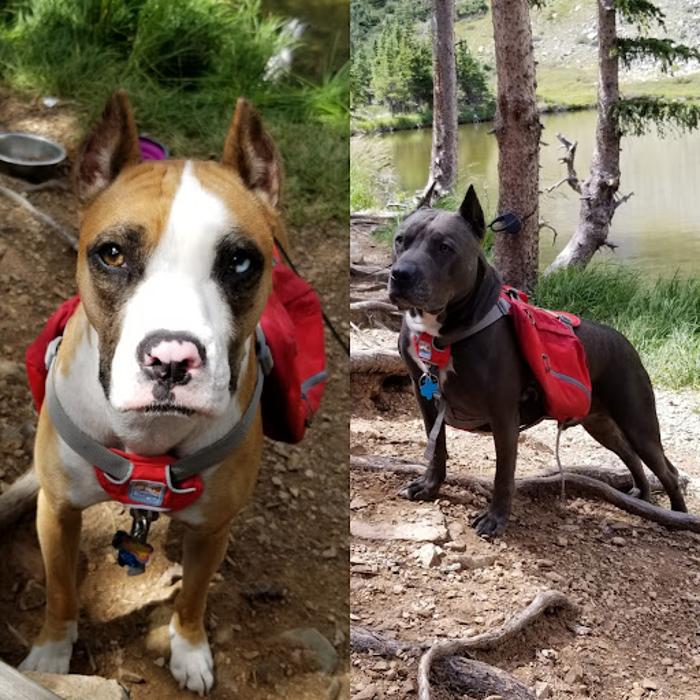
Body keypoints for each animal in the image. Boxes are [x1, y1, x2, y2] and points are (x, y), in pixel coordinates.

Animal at [20, 91, 286, 696]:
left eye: (240, 261)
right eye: (112, 254)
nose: (170, 359)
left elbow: (193, 596)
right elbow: (61, 589)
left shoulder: (213, 528)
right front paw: (51, 651)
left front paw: (188, 650)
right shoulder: (58, 511)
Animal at [388, 185, 688, 536]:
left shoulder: (503, 415)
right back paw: (642, 497)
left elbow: (503, 473)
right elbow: (437, 449)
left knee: (666, 471)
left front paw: (495, 519)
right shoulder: (425, 397)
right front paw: (429, 486)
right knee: (632, 457)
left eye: (444, 247)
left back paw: (679, 516)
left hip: (638, 421)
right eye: (400, 240)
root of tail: (625, 340)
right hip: (601, 423)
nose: (401, 274)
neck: (442, 329)